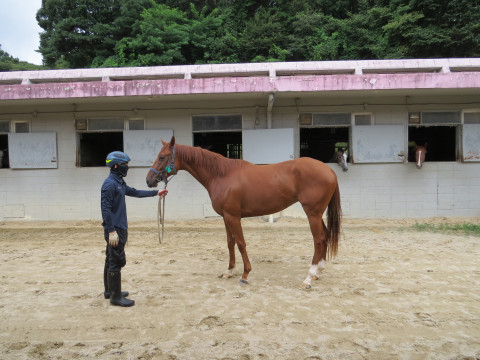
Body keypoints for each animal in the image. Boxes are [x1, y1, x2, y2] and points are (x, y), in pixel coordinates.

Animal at [146, 136, 342, 288]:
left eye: (162, 157)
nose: (149, 180)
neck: (222, 175)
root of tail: (329, 170)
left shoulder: (233, 216)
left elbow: (241, 243)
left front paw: (245, 275)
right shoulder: (225, 217)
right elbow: (230, 243)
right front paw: (229, 271)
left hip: (312, 213)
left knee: (319, 240)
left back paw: (308, 278)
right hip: (317, 214)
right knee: (325, 236)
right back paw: (318, 272)